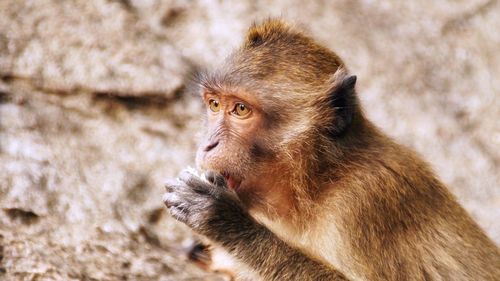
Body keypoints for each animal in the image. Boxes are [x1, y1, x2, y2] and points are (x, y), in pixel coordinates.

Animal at [162, 18, 498, 278]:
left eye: (241, 109)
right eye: (214, 105)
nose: (208, 144)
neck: (319, 181)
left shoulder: (362, 202)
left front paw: (225, 221)